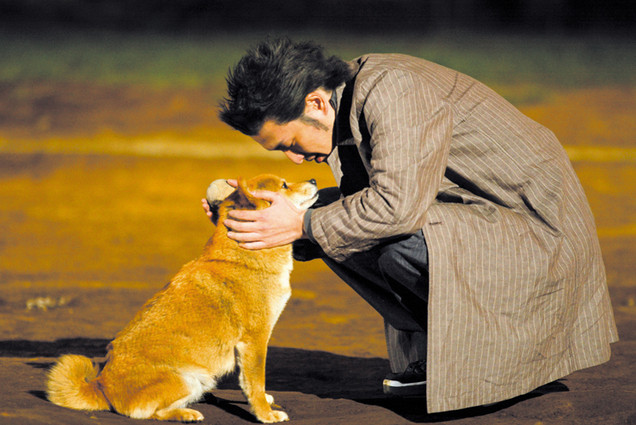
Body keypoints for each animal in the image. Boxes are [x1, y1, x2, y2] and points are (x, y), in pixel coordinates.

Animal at [46, 173, 318, 420]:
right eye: (284, 185)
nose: (315, 180)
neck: (245, 256)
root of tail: (102, 387)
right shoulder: (255, 340)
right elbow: (255, 383)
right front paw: (265, 414)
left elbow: (247, 383)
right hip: (186, 381)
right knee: (149, 414)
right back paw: (185, 414)